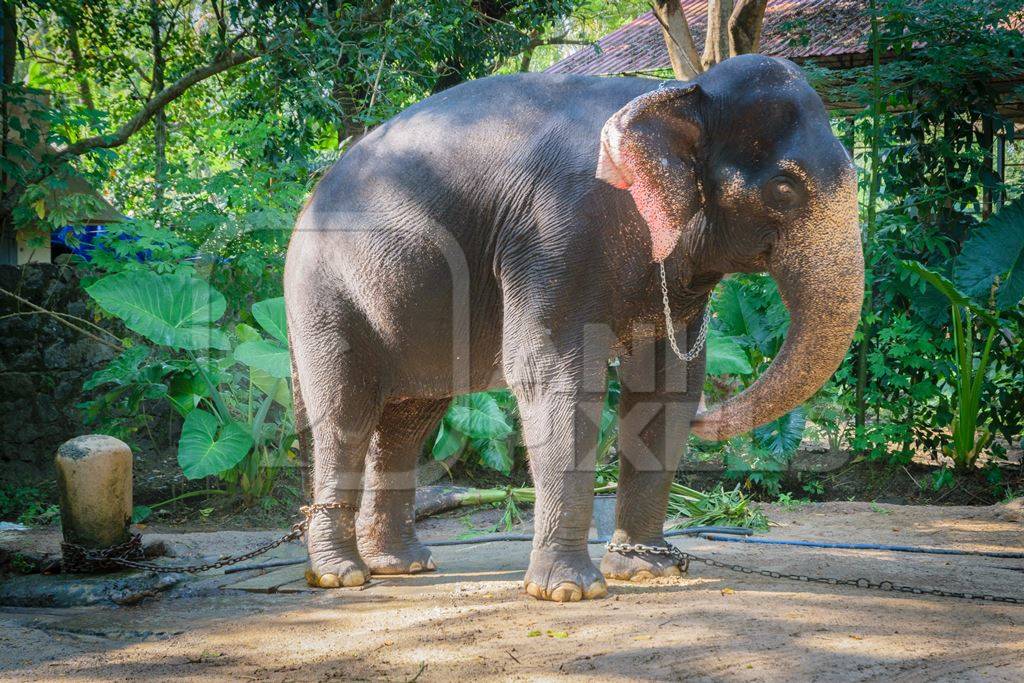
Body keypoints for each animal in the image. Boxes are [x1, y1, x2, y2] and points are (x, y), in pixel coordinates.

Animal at [286, 57, 864, 602]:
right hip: (324, 295)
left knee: (410, 419)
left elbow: (668, 386)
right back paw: (343, 576)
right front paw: (569, 591)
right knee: (345, 411)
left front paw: (645, 570)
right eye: (785, 189)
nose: (712, 417)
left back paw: (401, 564)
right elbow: (552, 373)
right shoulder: (556, 233)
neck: (676, 92)